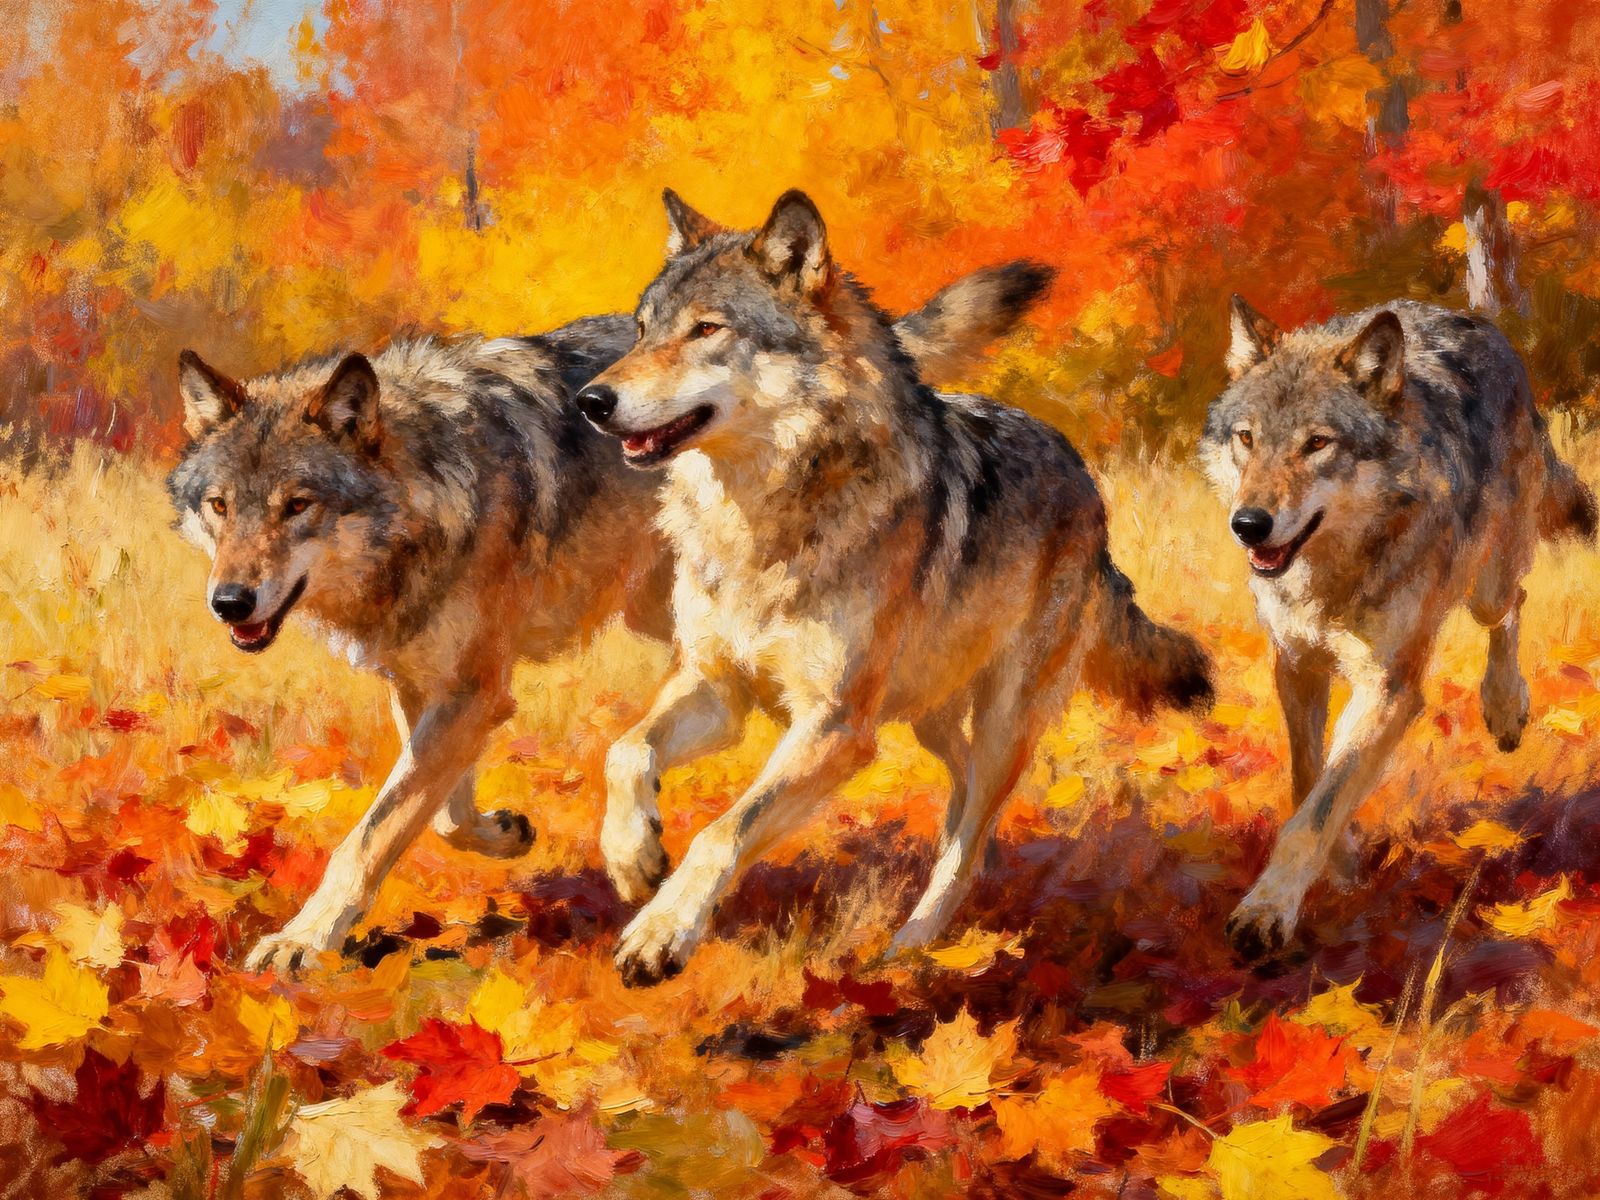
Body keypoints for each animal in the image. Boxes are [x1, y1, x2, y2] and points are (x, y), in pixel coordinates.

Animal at [168, 275, 1051, 974]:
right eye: (220, 506)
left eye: (297, 506)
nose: (229, 602)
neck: (433, 481)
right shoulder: (429, 685)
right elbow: (443, 810)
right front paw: (504, 832)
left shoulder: (470, 688)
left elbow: (372, 832)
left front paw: (303, 940)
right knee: (948, 759)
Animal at [576, 189, 1214, 985]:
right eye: (641, 330)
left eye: (707, 330)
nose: (590, 400)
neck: (761, 521)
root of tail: (1080, 472)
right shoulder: (721, 691)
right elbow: (625, 751)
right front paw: (632, 859)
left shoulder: (836, 727)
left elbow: (724, 830)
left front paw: (661, 933)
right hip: (927, 712)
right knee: (965, 799)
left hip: (1002, 717)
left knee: (971, 834)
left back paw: (915, 945)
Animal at [1201, 296, 1596, 957]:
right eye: (1247, 438)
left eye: (1317, 443)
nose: (1249, 523)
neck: (1332, 578)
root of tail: (1471, 321)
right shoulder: (1296, 663)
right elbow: (1309, 780)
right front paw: (1341, 863)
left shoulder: (1388, 685)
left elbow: (1317, 810)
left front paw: (1267, 909)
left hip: (1487, 584)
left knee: (1510, 606)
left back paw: (1505, 708)